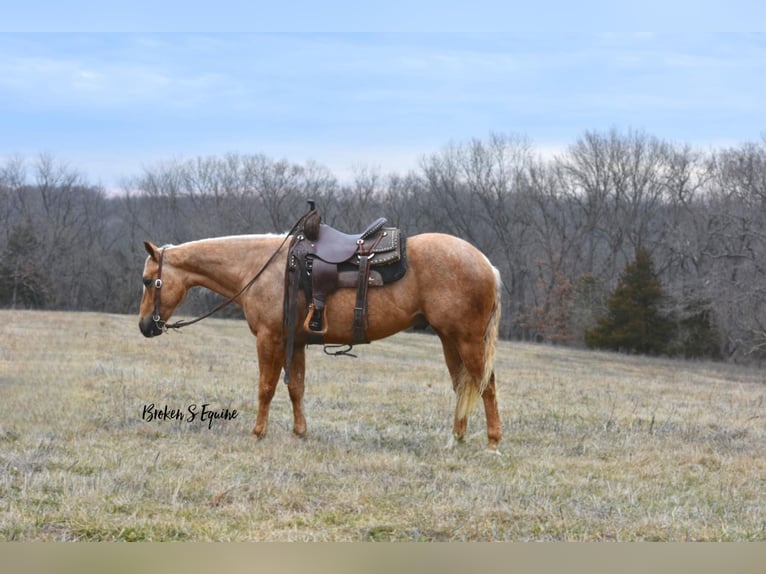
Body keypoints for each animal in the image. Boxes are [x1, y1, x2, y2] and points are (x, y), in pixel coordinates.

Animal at [138, 232, 504, 452]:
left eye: (147, 280)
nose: (145, 326)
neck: (262, 269)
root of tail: (487, 264)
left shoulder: (269, 339)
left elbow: (266, 387)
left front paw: (258, 432)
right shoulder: (296, 343)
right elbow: (295, 387)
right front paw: (299, 432)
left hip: (468, 340)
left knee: (486, 386)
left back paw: (493, 442)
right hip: (449, 340)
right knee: (462, 386)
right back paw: (456, 439)